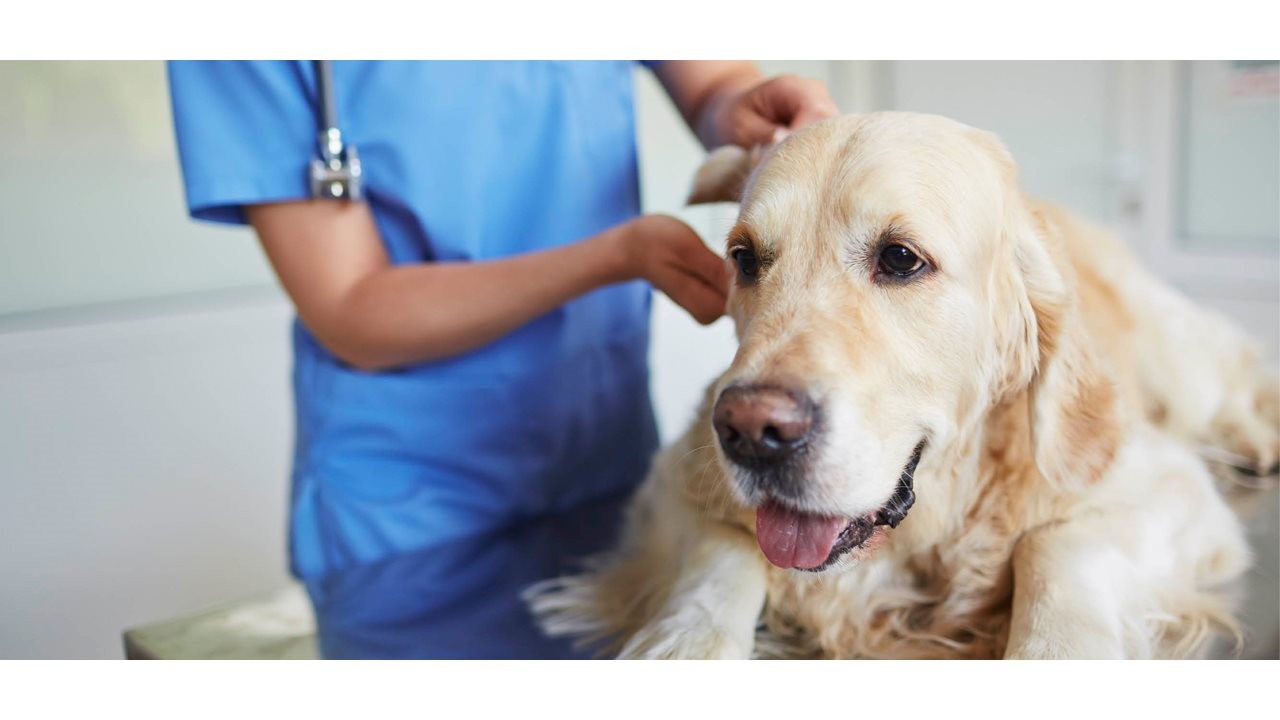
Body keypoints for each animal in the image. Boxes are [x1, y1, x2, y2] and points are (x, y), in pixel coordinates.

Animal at [522, 110, 1280, 655]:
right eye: (743, 258)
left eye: (901, 258)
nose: (751, 433)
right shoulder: (672, 482)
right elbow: (720, 561)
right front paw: (685, 644)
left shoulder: (1165, 489)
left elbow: (1054, 550)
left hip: (1179, 366)